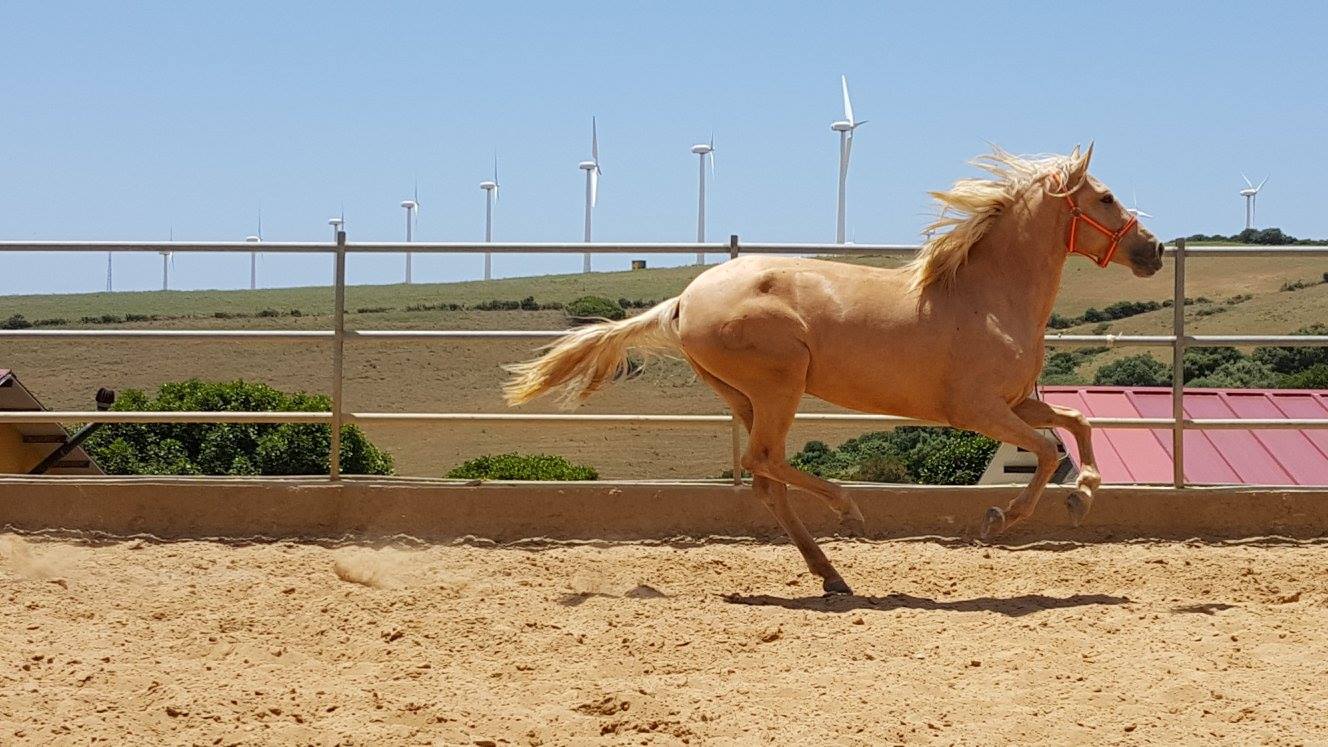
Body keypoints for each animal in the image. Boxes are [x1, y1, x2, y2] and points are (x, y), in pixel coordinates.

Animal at [503, 145, 1165, 595]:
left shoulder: (1017, 401)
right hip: (779, 385)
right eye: (1105, 197)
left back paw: (832, 575)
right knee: (763, 461)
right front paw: (1002, 517)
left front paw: (1083, 495)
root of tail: (684, 301)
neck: (986, 297)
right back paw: (849, 511)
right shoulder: (977, 409)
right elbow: (1049, 450)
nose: (1154, 251)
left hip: (744, 396)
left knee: (766, 478)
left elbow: (1076, 422)